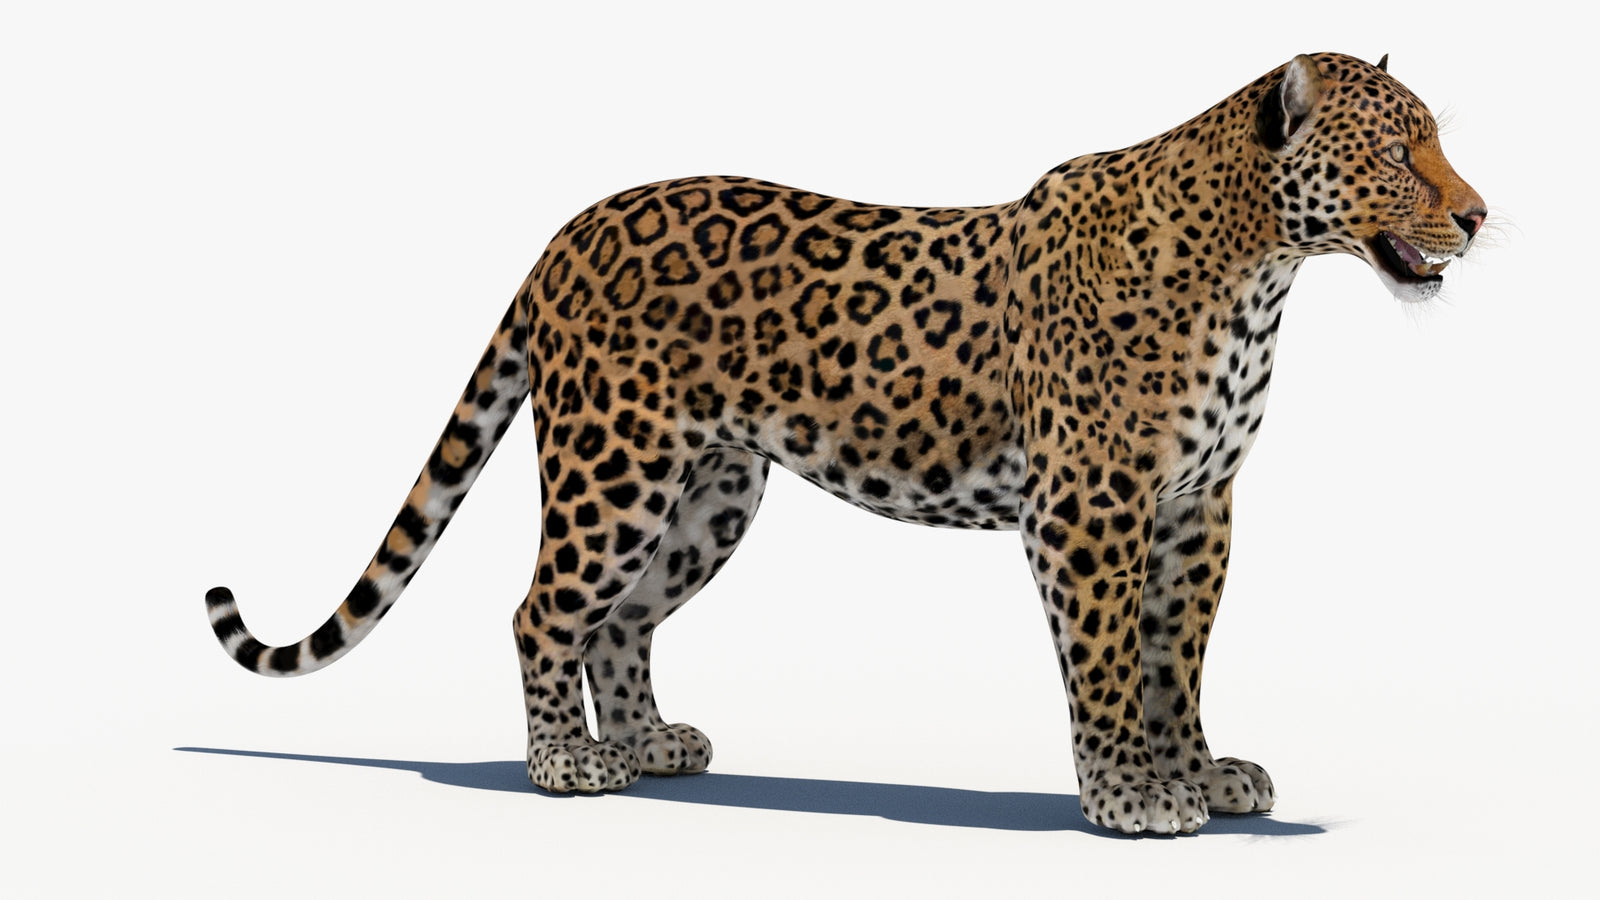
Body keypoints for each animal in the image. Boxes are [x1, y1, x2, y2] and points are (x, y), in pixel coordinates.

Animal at [205, 52, 1485, 835]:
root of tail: (567, 232)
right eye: (1398, 153)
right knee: (542, 610)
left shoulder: (1196, 506)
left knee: (620, 620)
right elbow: (1109, 660)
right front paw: (1129, 795)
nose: (1475, 215)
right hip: (613, 468)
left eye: (1434, 144)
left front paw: (1200, 775)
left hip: (710, 494)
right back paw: (565, 767)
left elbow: (1177, 656)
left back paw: (649, 743)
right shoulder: (1091, 505)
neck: (1261, 267)